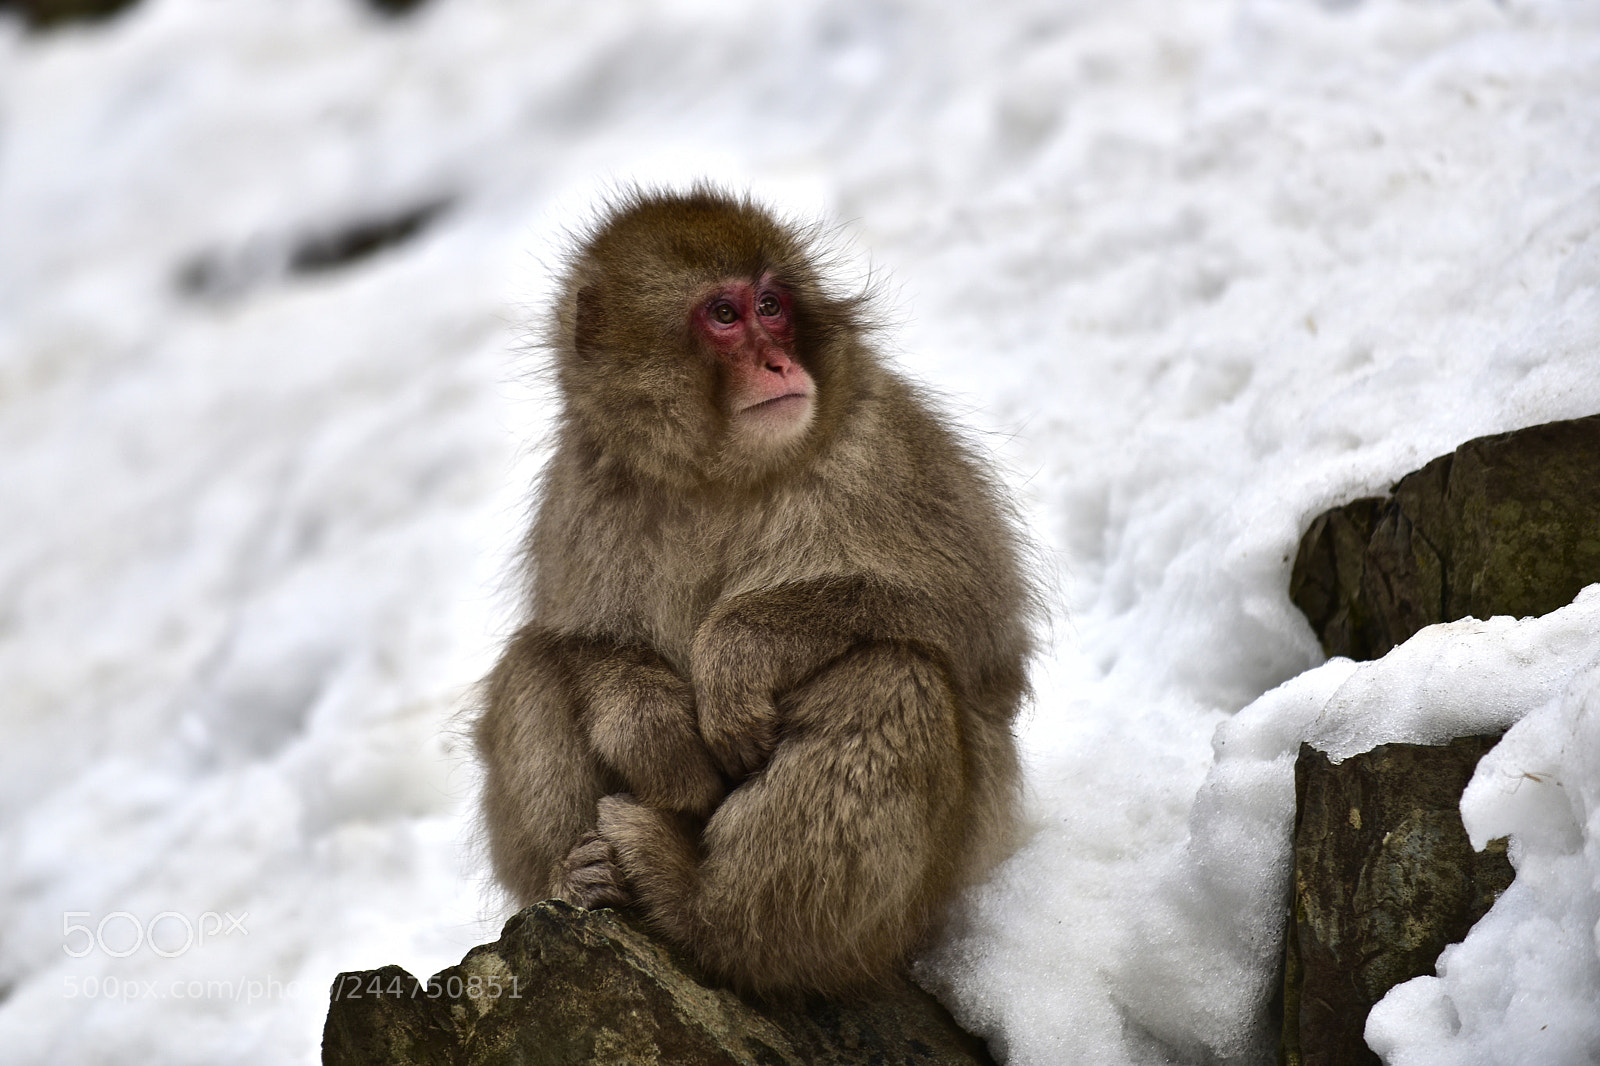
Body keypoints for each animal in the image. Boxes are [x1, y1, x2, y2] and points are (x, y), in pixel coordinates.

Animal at [474, 186, 1035, 998]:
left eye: (772, 305)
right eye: (724, 314)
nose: (778, 360)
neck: (716, 478)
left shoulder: (880, 445)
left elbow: (978, 620)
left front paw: (737, 653)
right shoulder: (584, 489)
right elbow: (580, 638)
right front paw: (649, 725)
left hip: (919, 902)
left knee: (891, 675)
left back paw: (702, 911)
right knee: (534, 664)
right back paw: (579, 877)